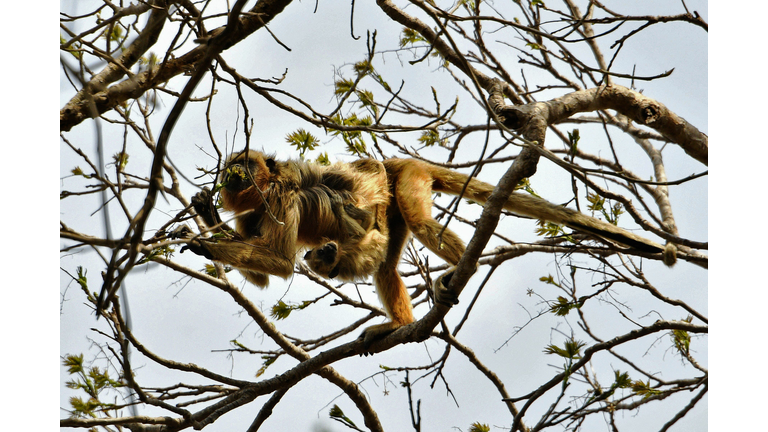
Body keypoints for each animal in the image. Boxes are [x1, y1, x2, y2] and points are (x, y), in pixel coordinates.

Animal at [184, 150, 672, 350]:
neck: (263, 194)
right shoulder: (252, 213)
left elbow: (283, 264)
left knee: (408, 222)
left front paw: (203, 242)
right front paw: (204, 214)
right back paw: (400, 323)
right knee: (385, 264)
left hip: (406, 183)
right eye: (231, 167)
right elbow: (263, 275)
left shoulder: (281, 197)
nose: (231, 175)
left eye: (243, 166)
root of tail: (400, 161)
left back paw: (460, 271)